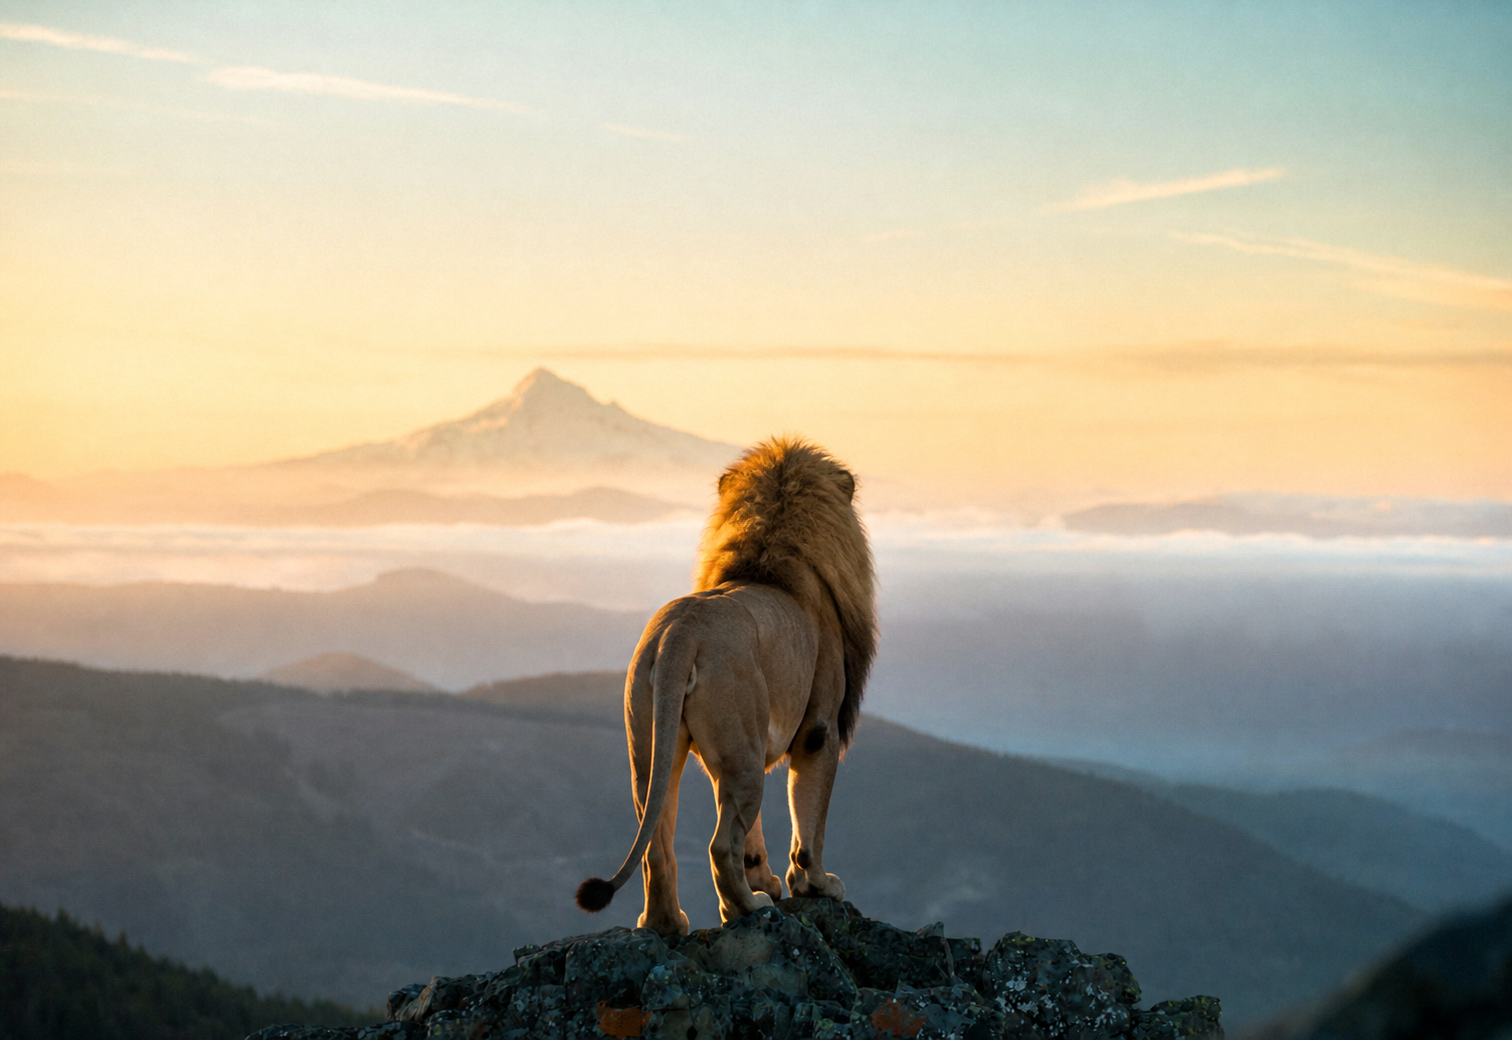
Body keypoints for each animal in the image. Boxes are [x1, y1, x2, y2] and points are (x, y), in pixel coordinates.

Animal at [575, 437, 877, 935]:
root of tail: (681, 633)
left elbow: (756, 840)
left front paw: (769, 880)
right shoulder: (820, 727)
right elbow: (809, 821)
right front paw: (815, 885)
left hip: (654, 746)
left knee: (657, 842)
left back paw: (667, 923)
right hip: (744, 755)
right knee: (720, 845)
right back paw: (749, 909)